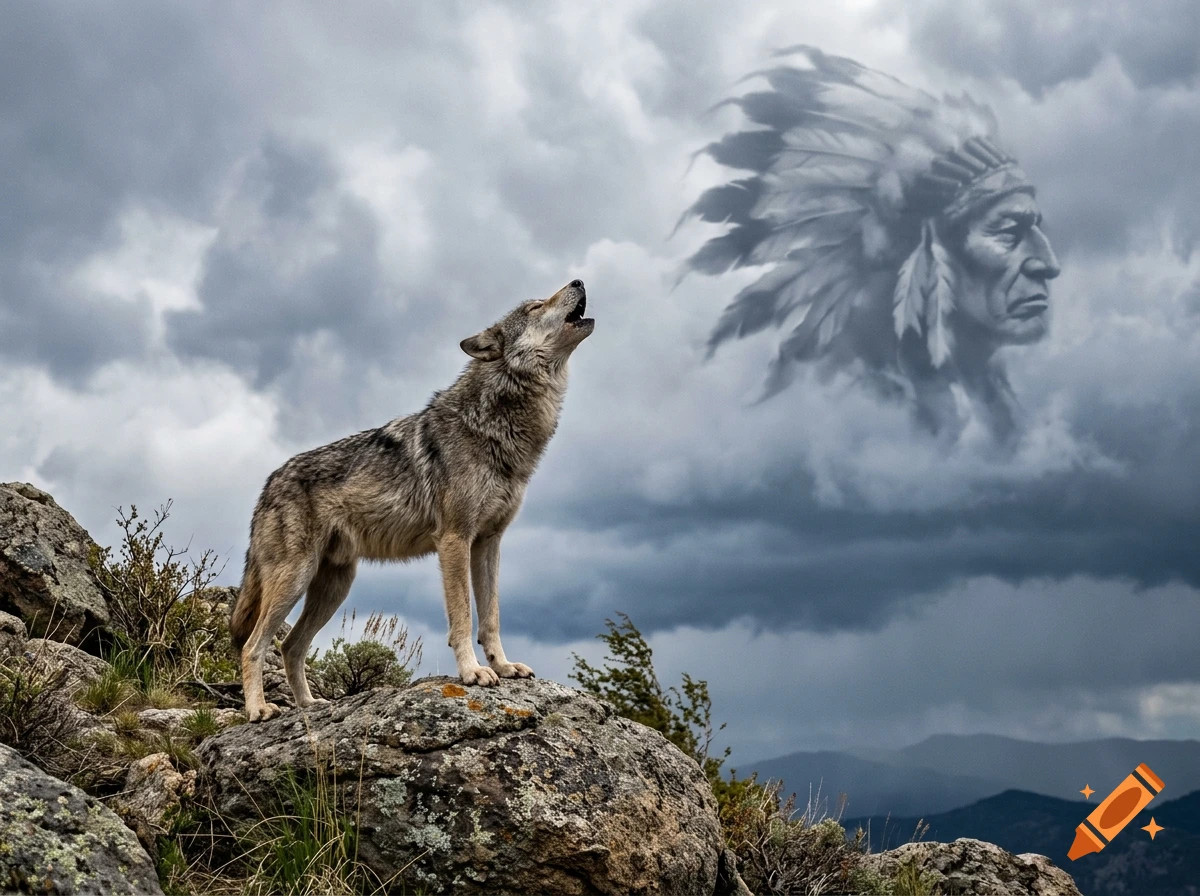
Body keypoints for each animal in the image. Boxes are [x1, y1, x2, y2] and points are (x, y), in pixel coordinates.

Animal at [229, 280, 594, 722]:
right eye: (536, 306)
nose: (578, 281)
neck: (496, 426)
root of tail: (267, 484)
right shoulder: (454, 540)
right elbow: (462, 617)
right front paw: (472, 673)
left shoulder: (488, 543)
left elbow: (490, 617)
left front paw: (504, 667)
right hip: (294, 580)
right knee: (254, 645)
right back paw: (259, 710)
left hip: (334, 587)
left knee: (290, 645)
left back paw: (310, 706)